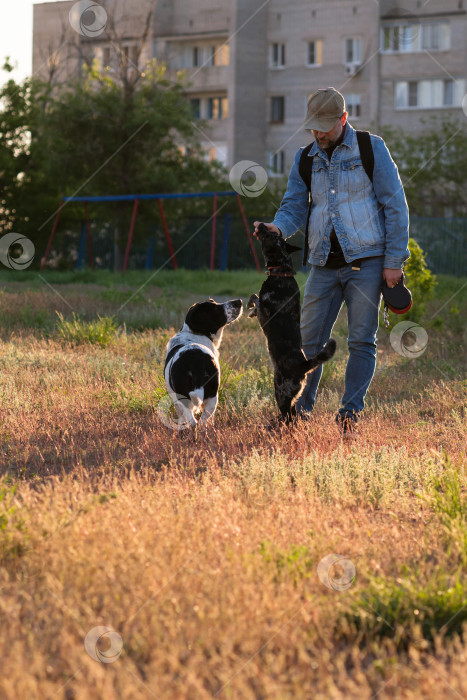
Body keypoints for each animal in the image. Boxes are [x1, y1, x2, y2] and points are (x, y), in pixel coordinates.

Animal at [165, 296, 243, 426]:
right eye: (215, 308)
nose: (239, 302)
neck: (194, 333)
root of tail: (195, 360)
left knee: (195, 422)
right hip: (211, 397)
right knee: (200, 422)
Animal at [249, 224, 336, 422]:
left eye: (270, 235)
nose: (262, 225)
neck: (282, 271)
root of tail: (303, 366)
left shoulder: (264, 309)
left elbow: (254, 298)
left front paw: (249, 308)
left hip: (280, 390)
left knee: (288, 416)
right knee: (294, 414)